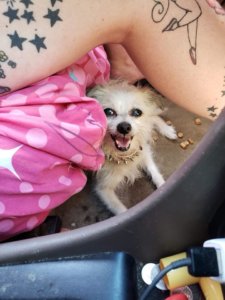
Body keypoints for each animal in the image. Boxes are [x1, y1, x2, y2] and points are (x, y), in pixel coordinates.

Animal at [87, 79, 177, 216]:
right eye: (108, 112)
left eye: (136, 112)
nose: (124, 127)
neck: (123, 155)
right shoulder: (103, 189)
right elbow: (121, 211)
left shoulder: (144, 152)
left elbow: (154, 171)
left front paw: (163, 187)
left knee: (153, 118)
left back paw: (167, 130)